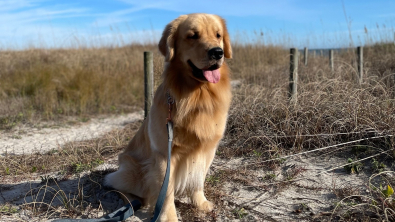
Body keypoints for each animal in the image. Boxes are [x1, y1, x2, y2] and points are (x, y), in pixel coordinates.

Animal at [105, 13, 234, 221]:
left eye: (218, 35)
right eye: (192, 36)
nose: (217, 52)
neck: (197, 96)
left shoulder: (207, 150)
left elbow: (198, 180)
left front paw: (200, 203)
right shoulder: (164, 155)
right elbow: (166, 193)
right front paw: (169, 217)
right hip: (133, 172)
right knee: (112, 182)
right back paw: (131, 203)